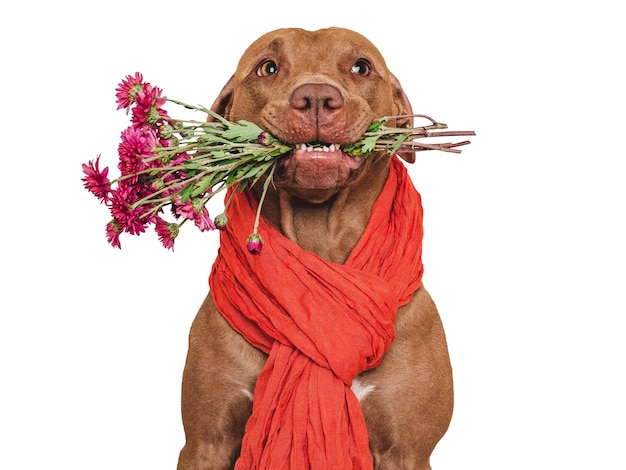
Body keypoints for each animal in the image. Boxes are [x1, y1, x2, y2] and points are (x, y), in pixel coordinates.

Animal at [178, 27, 450, 468]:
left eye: (361, 67)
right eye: (268, 68)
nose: (318, 97)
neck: (318, 239)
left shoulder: (407, 450)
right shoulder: (206, 442)